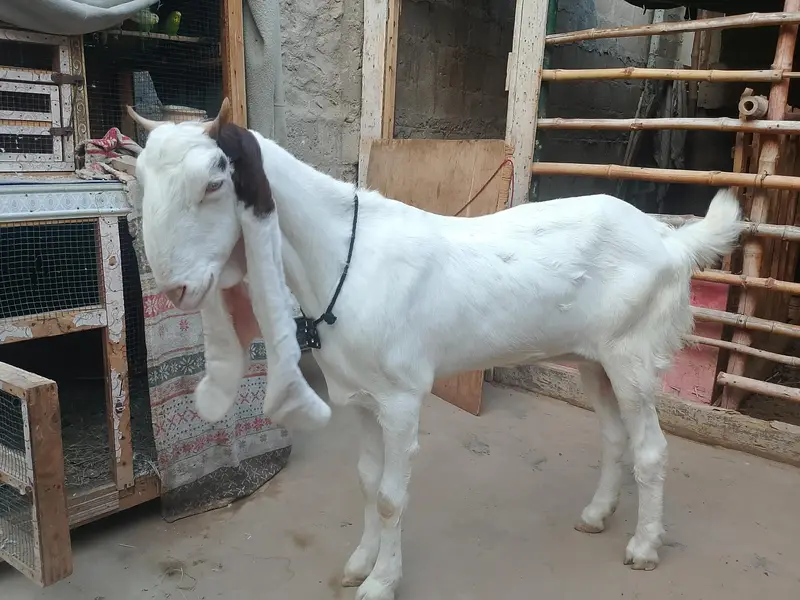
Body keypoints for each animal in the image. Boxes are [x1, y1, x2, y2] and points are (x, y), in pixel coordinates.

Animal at [127, 98, 741, 600]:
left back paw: (643, 547)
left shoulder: (400, 397)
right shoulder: (357, 396)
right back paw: (595, 514)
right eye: (140, 180)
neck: (346, 259)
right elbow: (366, 480)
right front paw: (359, 562)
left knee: (651, 449)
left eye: (214, 182)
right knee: (615, 436)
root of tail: (668, 239)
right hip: (595, 359)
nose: (175, 288)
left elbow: (391, 496)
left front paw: (380, 582)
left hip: (631, 355)